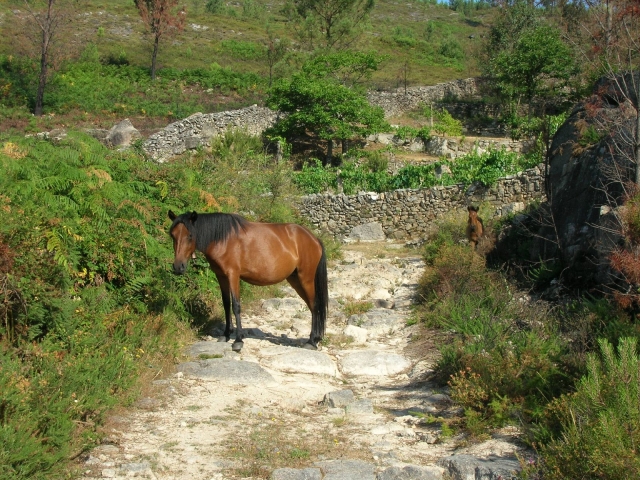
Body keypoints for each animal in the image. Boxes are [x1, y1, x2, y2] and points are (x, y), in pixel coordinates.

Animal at [168, 211, 328, 352]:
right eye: (173, 235)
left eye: (190, 235)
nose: (178, 266)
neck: (223, 239)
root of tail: (314, 239)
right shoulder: (221, 276)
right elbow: (226, 304)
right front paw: (226, 335)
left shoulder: (233, 275)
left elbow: (236, 306)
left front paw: (238, 341)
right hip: (295, 280)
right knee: (312, 306)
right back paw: (316, 338)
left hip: (306, 279)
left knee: (315, 305)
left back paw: (311, 342)